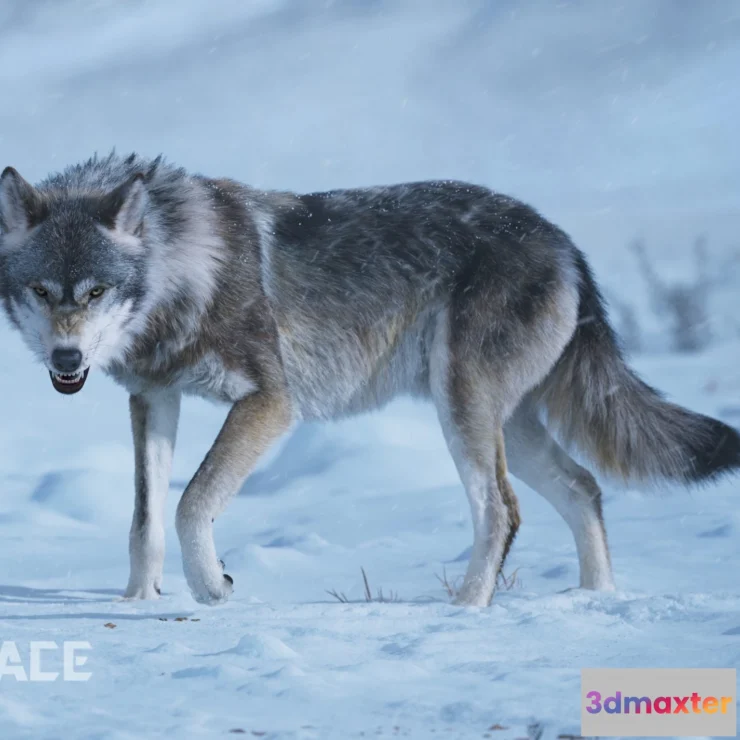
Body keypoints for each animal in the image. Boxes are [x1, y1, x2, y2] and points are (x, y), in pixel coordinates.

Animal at [1, 153, 738, 607]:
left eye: (95, 292)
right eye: (42, 292)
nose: (66, 361)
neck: (183, 273)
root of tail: (564, 243)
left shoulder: (272, 403)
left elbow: (190, 504)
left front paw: (212, 587)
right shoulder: (153, 398)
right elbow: (144, 518)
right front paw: (136, 605)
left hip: (462, 410)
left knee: (501, 509)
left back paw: (464, 611)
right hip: (509, 427)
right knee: (584, 487)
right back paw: (593, 599)